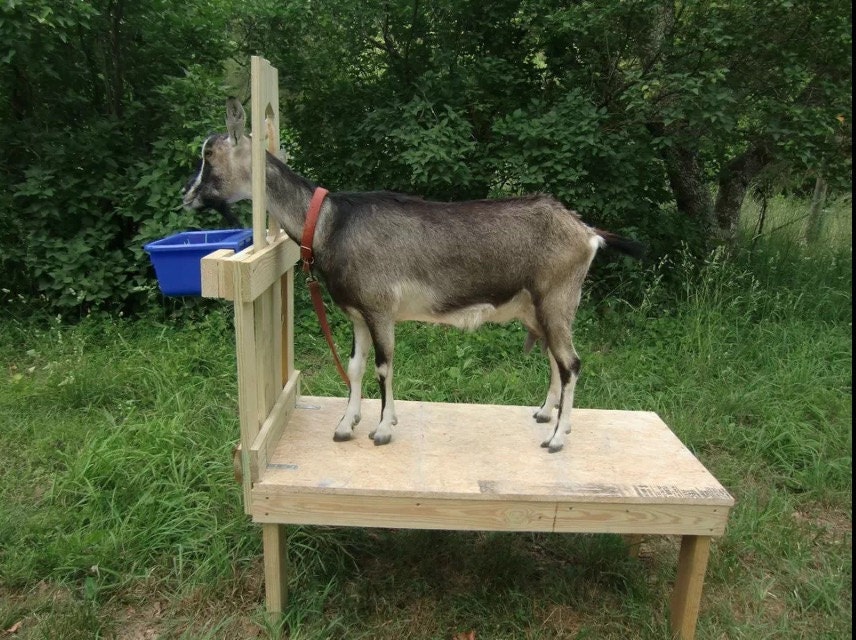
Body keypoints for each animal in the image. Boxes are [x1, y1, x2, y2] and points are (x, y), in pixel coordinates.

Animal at [182, 98, 644, 452]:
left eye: (208, 156)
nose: (187, 195)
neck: (330, 223)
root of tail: (587, 233)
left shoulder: (380, 310)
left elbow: (384, 367)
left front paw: (383, 429)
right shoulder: (357, 314)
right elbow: (355, 367)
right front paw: (346, 425)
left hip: (557, 298)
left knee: (572, 363)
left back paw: (557, 438)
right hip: (540, 308)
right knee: (554, 358)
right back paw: (545, 414)